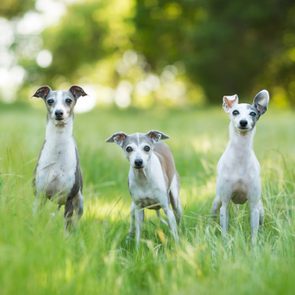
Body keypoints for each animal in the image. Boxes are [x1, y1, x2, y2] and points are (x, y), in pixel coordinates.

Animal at [33, 85, 87, 229]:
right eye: (50, 101)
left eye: (68, 100)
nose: (59, 113)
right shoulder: (39, 195)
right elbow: (36, 218)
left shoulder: (69, 198)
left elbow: (67, 226)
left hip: (79, 202)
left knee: (75, 221)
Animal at [213, 90, 270, 245]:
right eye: (235, 112)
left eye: (253, 113)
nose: (243, 122)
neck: (240, 156)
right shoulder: (225, 204)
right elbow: (224, 230)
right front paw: (225, 244)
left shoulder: (254, 206)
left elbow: (254, 232)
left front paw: (254, 247)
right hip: (216, 202)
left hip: (260, 208)